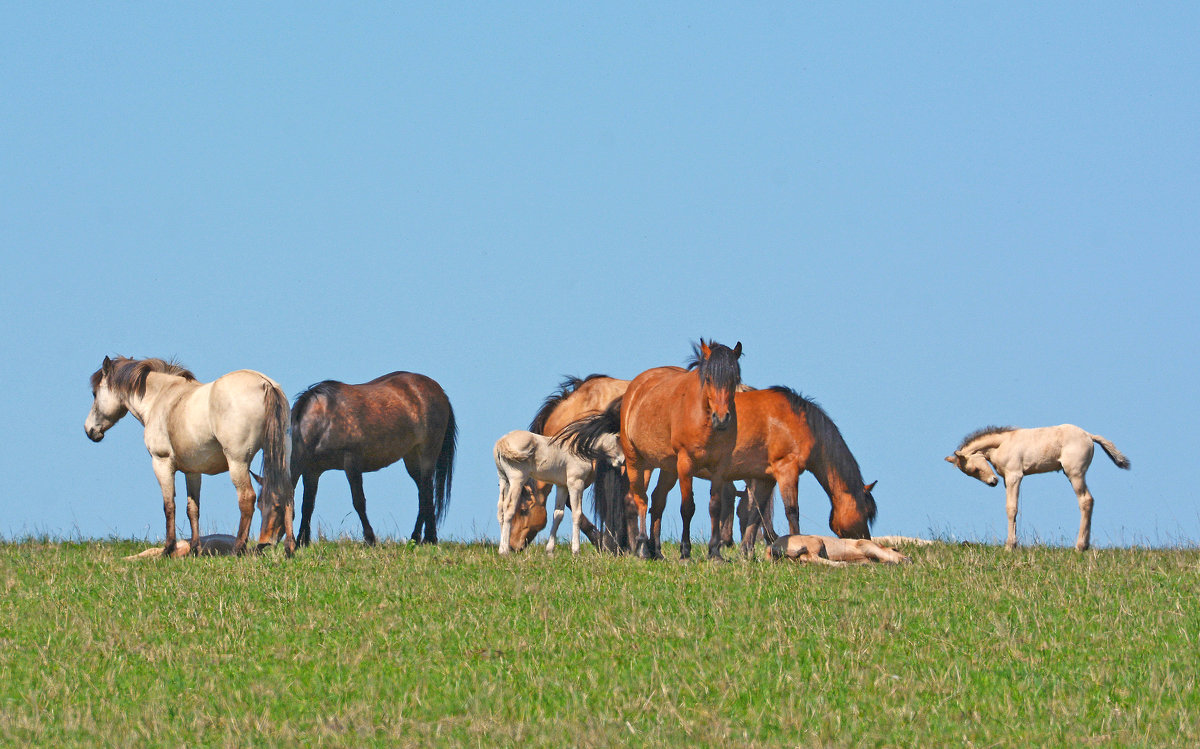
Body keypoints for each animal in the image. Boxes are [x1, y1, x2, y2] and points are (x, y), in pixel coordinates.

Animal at [85, 357, 296, 556]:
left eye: (95, 394)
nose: (89, 430)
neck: (162, 397)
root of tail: (265, 383)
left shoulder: (161, 462)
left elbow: (169, 505)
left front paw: (168, 549)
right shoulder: (192, 471)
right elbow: (193, 508)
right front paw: (195, 549)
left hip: (238, 462)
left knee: (246, 498)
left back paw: (238, 549)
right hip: (283, 457)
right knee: (287, 493)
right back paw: (289, 548)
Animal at [291, 372, 458, 544]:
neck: (323, 420)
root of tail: (438, 390)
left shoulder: (351, 462)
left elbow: (359, 501)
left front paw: (370, 539)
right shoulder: (312, 471)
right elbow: (307, 506)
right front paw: (302, 541)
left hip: (428, 454)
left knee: (427, 493)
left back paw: (429, 538)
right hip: (412, 458)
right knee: (423, 493)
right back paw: (418, 537)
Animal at [496, 427, 628, 556]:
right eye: (618, 439)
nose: (622, 461)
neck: (579, 450)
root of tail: (501, 442)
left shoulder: (562, 486)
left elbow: (558, 515)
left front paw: (550, 550)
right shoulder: (575, 484)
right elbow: (577, 514)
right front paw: (576, 550)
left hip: (504, 480)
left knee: (501, 510)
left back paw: (502, 548)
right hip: (517, 481)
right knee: (509, 509)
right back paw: (505, 551)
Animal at [940, 424, 1128, 552]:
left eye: (974, 469)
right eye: (970, 473)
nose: (993, 482)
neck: (1002, 443)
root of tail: (1089, 435)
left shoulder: (1014, 476)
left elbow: (1011, 508)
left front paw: (1009, 546)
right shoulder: (1007, 479)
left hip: (1075, 473)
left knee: (1086, 500)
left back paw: (1080, 546)